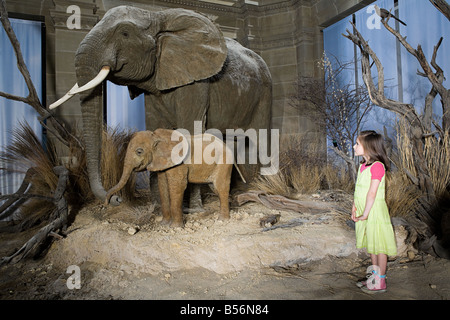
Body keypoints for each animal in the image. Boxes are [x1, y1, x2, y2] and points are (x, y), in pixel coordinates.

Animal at [51, 6, 272, 206]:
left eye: (125, 33)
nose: (114, 199)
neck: (156, 15)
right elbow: (155, 128)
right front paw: (157, 209)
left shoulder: (197, 83)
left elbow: (189, 131)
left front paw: (194, 210)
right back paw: (240, 190)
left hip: (265, 93)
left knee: (259, 139)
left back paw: (260, 188)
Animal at [105, 129, 244, 226]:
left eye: (139, 151)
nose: (109, 202)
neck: (157, 137)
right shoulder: (162, 163)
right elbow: (163, 187)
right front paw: (163, 224)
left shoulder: (179, 163)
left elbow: (178, 187)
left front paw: (175, 227)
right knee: (216, 188)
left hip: (224, 162)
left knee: (220, 188)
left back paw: (222, 220)